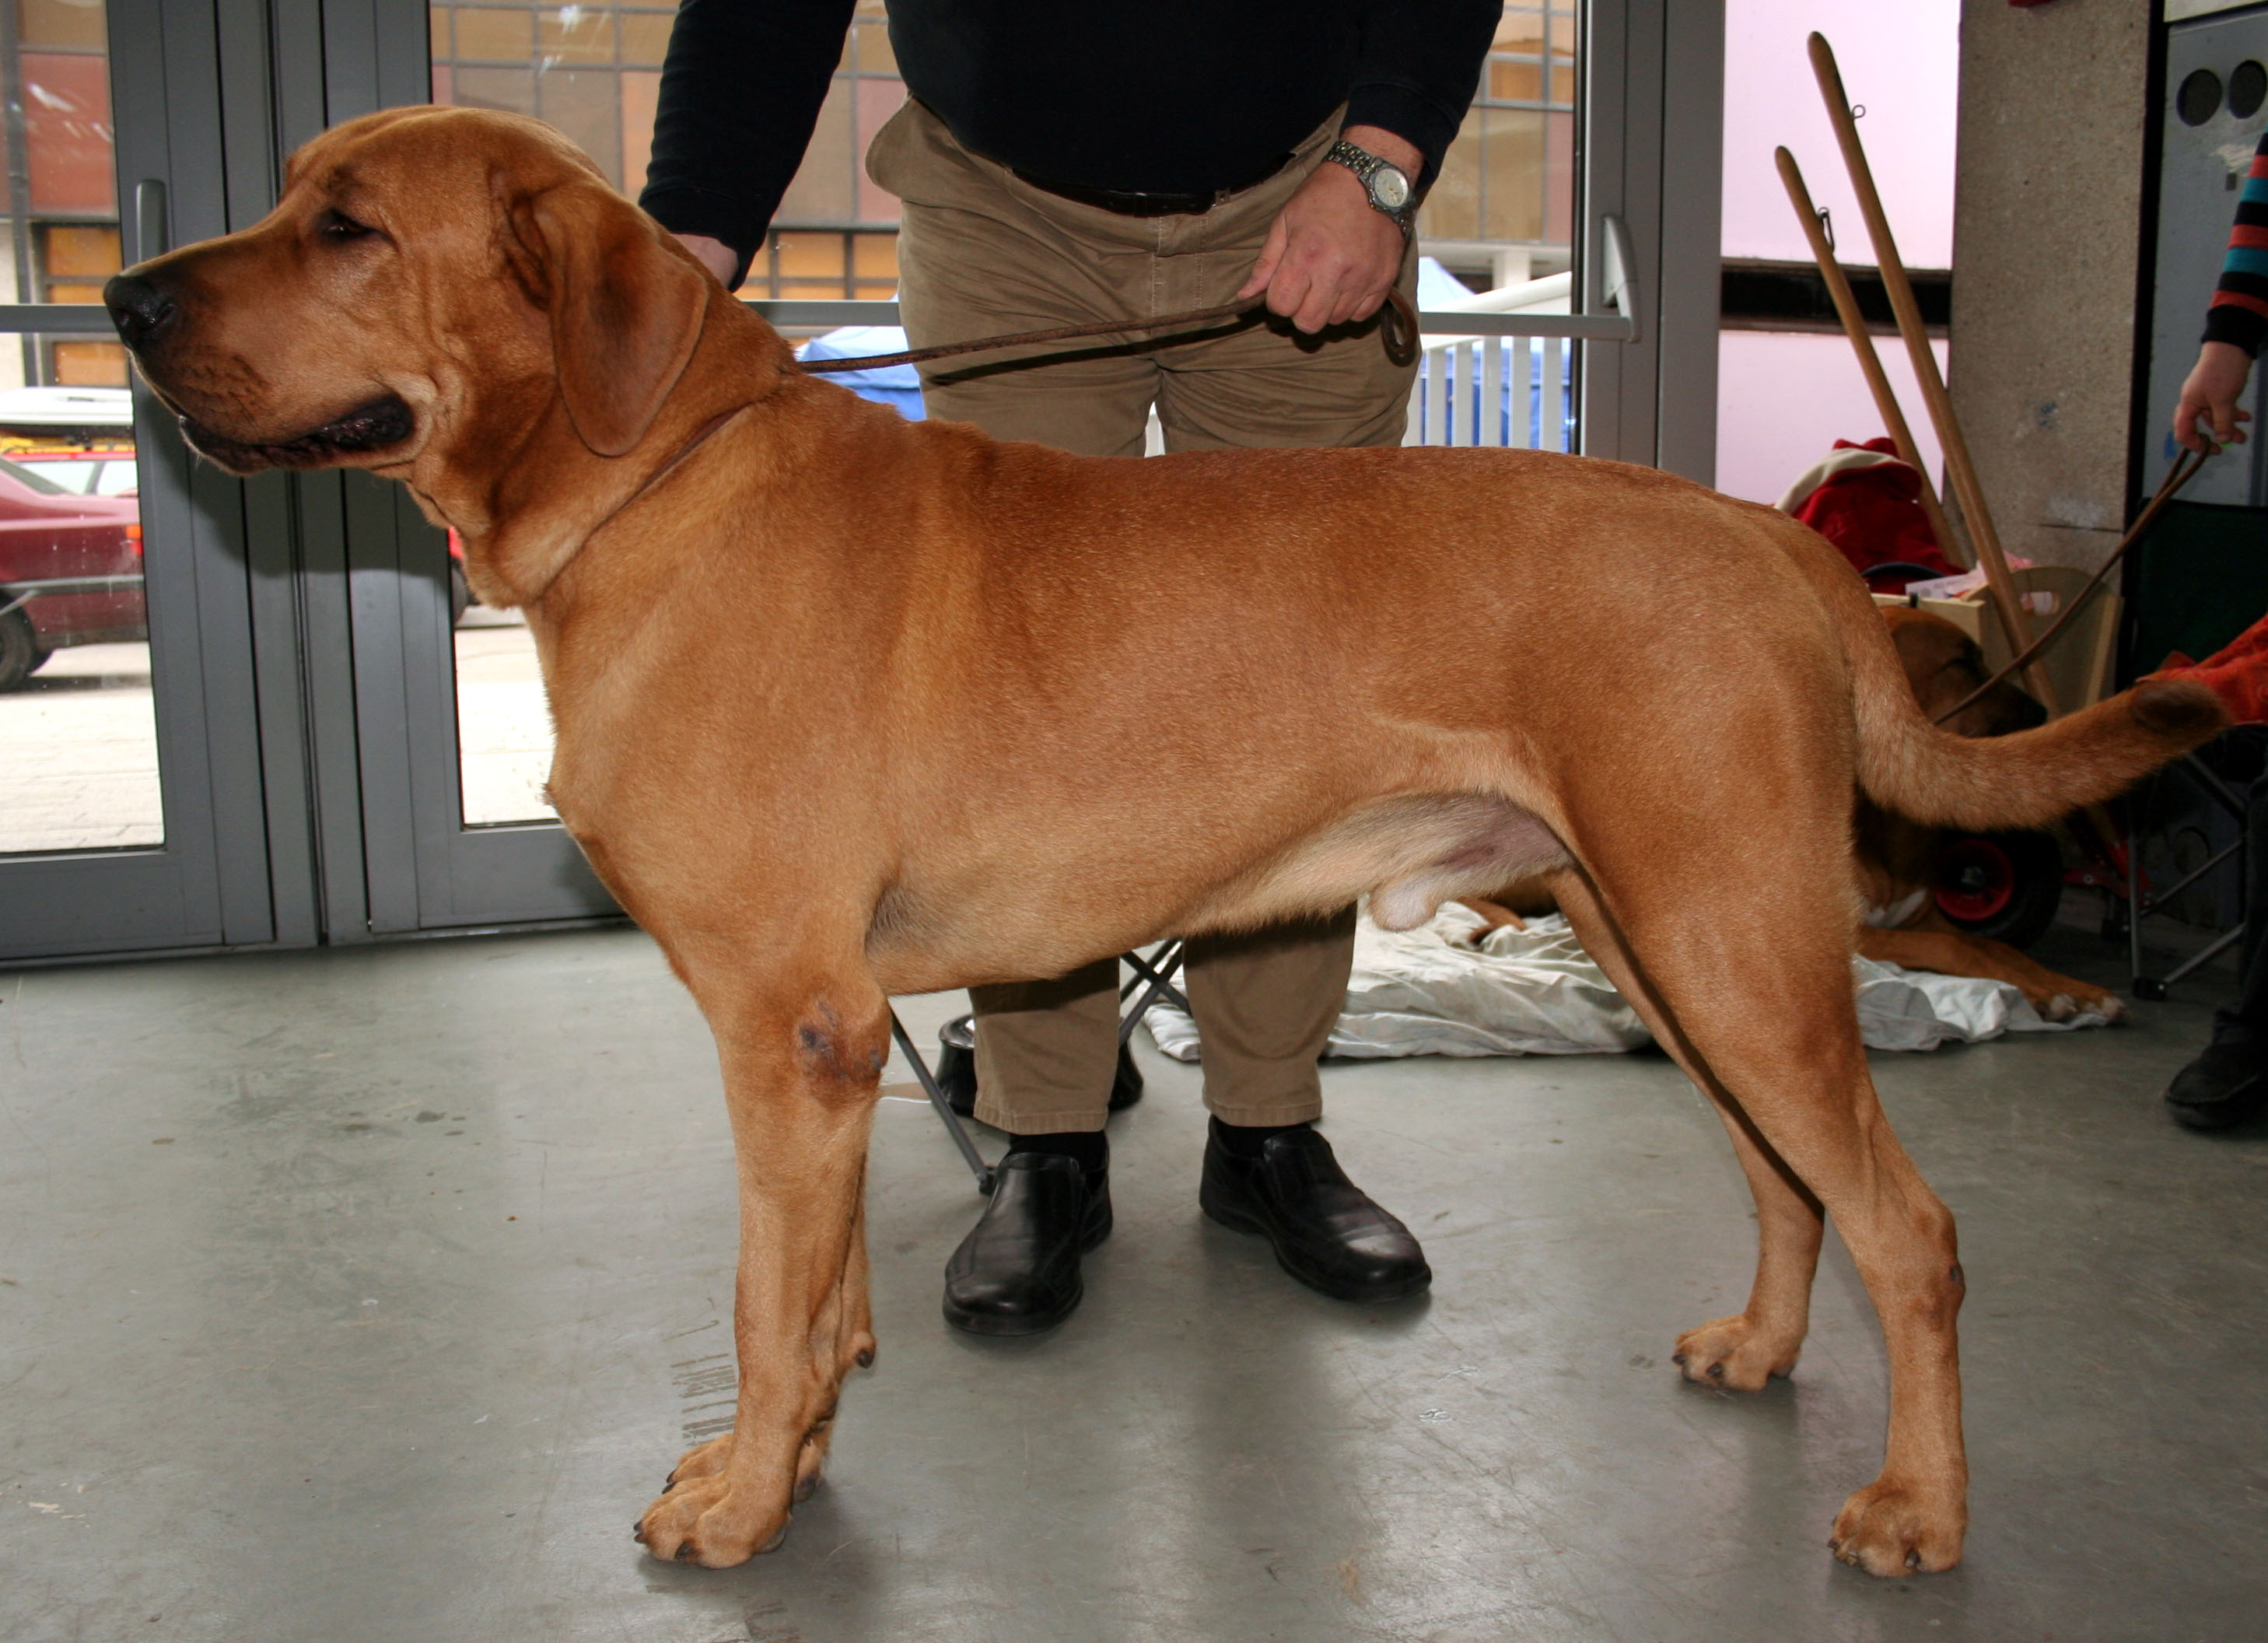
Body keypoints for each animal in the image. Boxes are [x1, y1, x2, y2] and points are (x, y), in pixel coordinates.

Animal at [97, 109, 2222, 1570]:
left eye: (347, 226)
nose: (121, 294)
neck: (656, 480)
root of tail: (1773, 541)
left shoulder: (784, 1024)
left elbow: (760, 1307)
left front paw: (742, 1498)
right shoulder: (832, 1039)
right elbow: (818, 1293)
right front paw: (810, 1432)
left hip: (1732, 942)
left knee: (1911, 1229)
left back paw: (1918, 1506)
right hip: (1673, 938)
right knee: (1791, 1188)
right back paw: (1763, 1347)